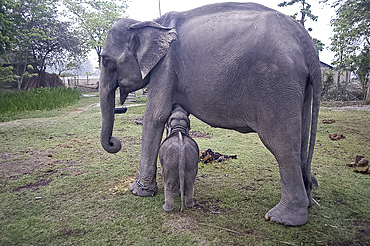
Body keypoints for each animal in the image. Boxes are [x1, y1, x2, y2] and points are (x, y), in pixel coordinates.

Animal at [99, 1, 320, 226]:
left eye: (107, 61)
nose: (114, 142)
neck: (152, 22)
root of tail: (308, 46)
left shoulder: (165, 66)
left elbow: (155, 115)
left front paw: (138, 191)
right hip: (299, 87)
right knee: (301, 142)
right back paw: (308, 203)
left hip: (277, 84)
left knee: (282, 146)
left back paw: (281, 218)